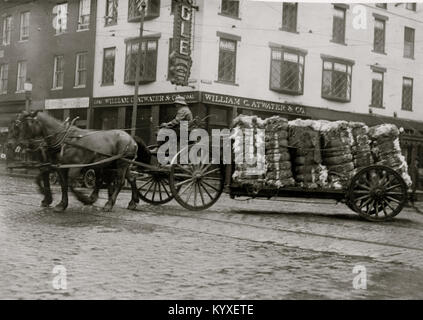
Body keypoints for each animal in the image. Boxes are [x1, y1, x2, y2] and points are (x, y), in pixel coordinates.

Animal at [16, 110, 145, 212]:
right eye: (18, 125)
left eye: (27, 124)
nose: (20, 144)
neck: (64, 140)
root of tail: (131, 138)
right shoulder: (60, 168)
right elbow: (64, 185)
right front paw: (61, 204)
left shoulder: (75, 167)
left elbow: (71, 184)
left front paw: (85, 199)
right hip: (117, 164)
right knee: (131, 179)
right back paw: (133, 202)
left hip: (122, 163)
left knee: (120, 182)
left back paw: (109, 204)